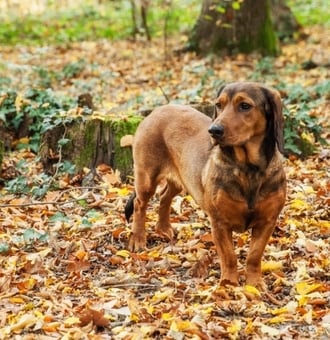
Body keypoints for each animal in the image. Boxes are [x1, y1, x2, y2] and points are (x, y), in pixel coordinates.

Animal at [125, 81, 284, 286]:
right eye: (219, 105)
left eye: (245, 106)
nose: (214, 131)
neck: (248, 168)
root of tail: (157, 110)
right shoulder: (219, 223)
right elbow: (229, 256)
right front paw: (228, 284)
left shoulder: (267, 222)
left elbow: (254, 256)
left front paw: (254, 284)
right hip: (146, 178)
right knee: (140, 204)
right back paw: (138, 238)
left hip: (181, 179)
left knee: (164, 196)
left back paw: (164, 228)